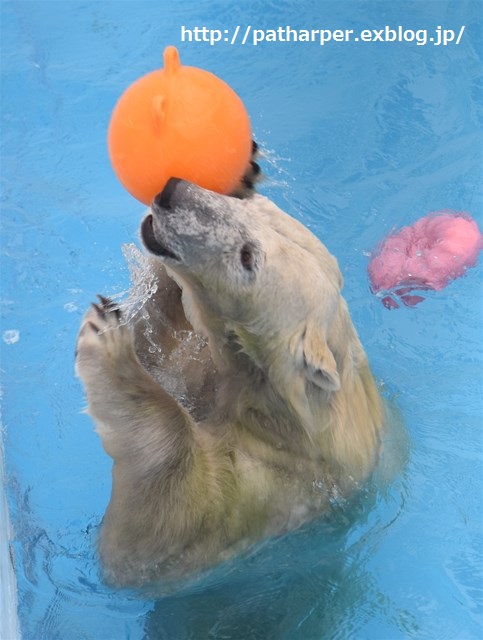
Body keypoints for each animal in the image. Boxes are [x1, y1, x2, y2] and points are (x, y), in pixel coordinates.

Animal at [75, 178, 386, 588]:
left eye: (247, 258)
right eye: (250, 202)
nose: (174, 192)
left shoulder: (269, 488)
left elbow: (153, 535)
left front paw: (107, 336)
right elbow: (162, 342)